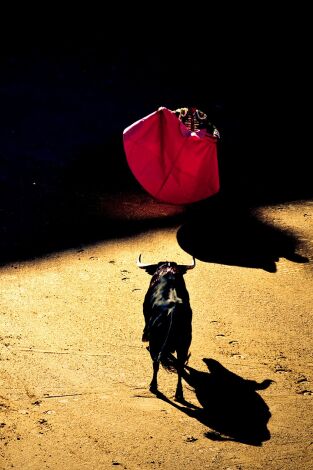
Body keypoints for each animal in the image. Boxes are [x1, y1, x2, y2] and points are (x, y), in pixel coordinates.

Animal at [137, 255, 195, 402]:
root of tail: (172, 310)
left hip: (156, 343)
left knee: (156, 363)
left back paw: (153, 386)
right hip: (184, 343)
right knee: (179, 366)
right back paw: (179, 393)